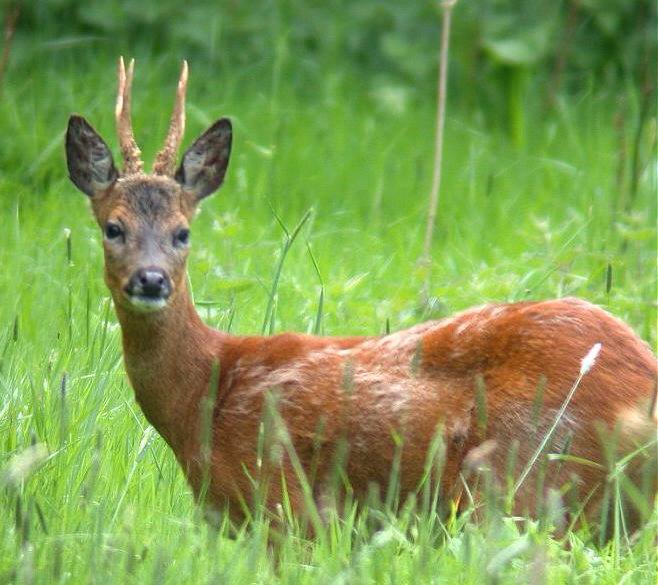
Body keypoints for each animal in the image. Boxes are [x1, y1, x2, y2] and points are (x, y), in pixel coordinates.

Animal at [65, 58, 657, 536]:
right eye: (113, 228)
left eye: (182, 232)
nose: (150, 280)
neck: (204, 395)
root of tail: (643, 383)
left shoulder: (280, 504)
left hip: (524, 482)